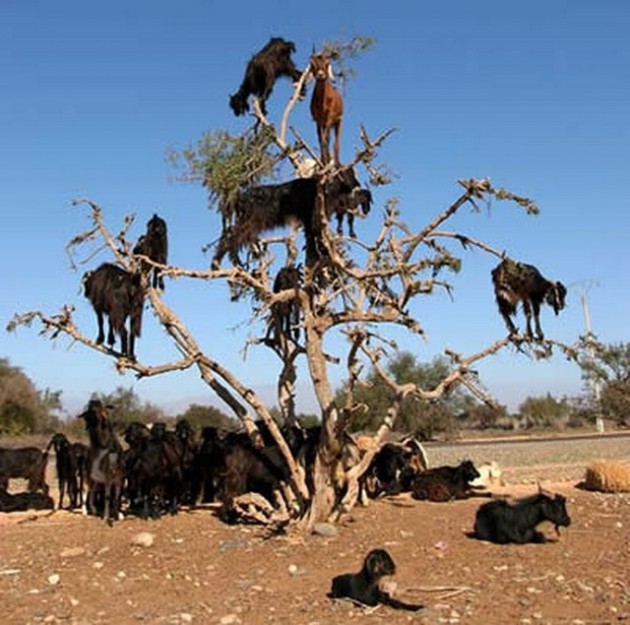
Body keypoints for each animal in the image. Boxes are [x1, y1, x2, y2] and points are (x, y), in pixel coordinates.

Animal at [9, 37, 584, 528]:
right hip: (240, 229)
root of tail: (239, 195)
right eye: (354, 184)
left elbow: (313, 247)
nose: (357, 194)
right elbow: (311, 242)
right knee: (228, 245)